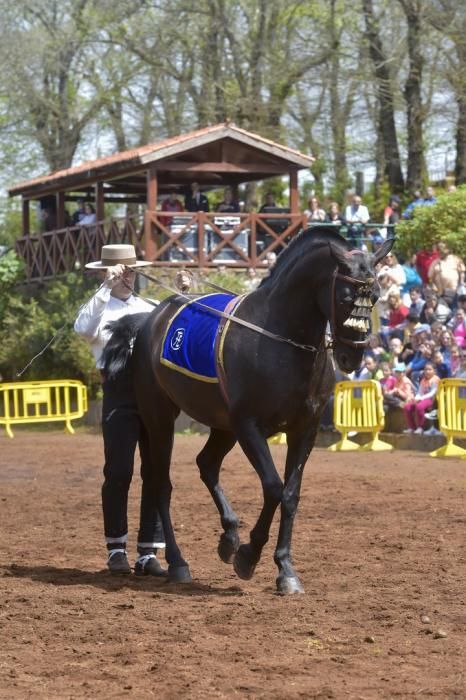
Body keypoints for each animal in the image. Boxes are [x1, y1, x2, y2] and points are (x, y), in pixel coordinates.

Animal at [103, 227, 394, 592]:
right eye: (344, 297)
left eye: (376, 296)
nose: (351, 356)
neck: (281, 339)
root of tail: (149, 320)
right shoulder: (249, 426)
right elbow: (272, 486)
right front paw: (249, 555)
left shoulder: (304, 430)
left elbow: (290, 494)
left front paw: (285, 570)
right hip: (160, 418)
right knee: (161, 484)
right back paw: (177, 562)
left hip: (221, 426)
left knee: (206, 464)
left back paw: (228, 537)